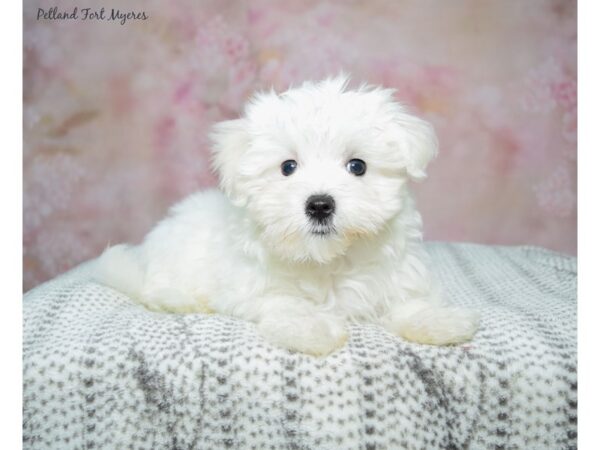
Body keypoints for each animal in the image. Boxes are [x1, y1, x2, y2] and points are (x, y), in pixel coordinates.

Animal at [96, 76, 480, 356]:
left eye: (357, 166)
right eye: (288, 167)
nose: (320, 205)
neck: (327, 261)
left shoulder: (396, 275)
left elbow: (408, 302)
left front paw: (438, 321)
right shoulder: (253, 285)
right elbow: (286, 303)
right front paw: (314, 328)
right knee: (155, 287)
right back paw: (181, 298)